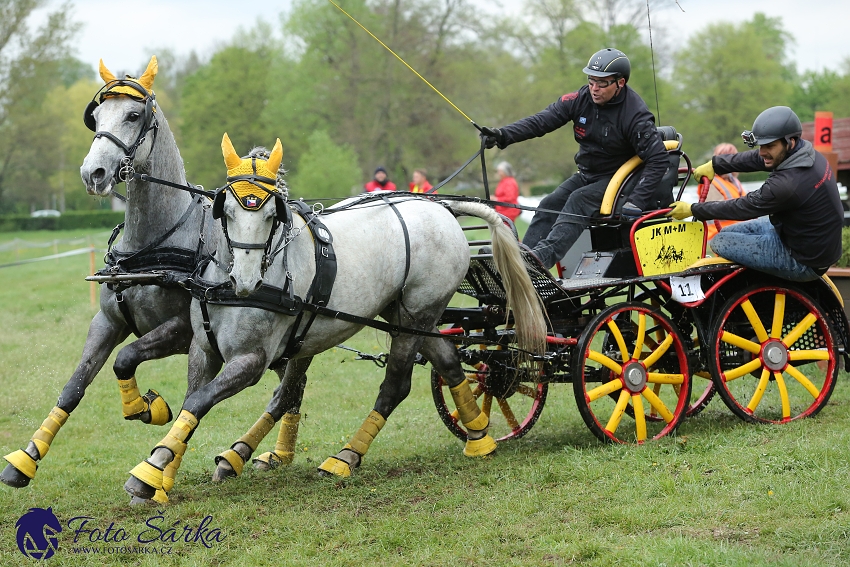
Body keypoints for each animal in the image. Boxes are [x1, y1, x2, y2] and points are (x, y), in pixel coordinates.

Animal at [0, 57, 212, 502]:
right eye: (96, 118)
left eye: (133, 115)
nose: (92, 172)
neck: (151, 246)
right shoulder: (108, 322)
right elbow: (74, 384)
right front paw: (26, 459)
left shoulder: (182, 329)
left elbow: (125, 359)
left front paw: (146, 408)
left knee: (201, 396)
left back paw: (158, 475)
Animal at [122, 135, 548, 500]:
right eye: (225, 211)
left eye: (271, 216)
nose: (245, 281)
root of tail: (440, 206)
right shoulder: (203, 348)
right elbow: (192, 403)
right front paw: (165, 473)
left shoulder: (251, 361)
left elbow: (200, 401)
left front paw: (149, 472)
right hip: (410, 315)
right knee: (448, 362)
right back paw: (479, 437)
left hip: (416, 314)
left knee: (395, 386)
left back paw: (347, 456)